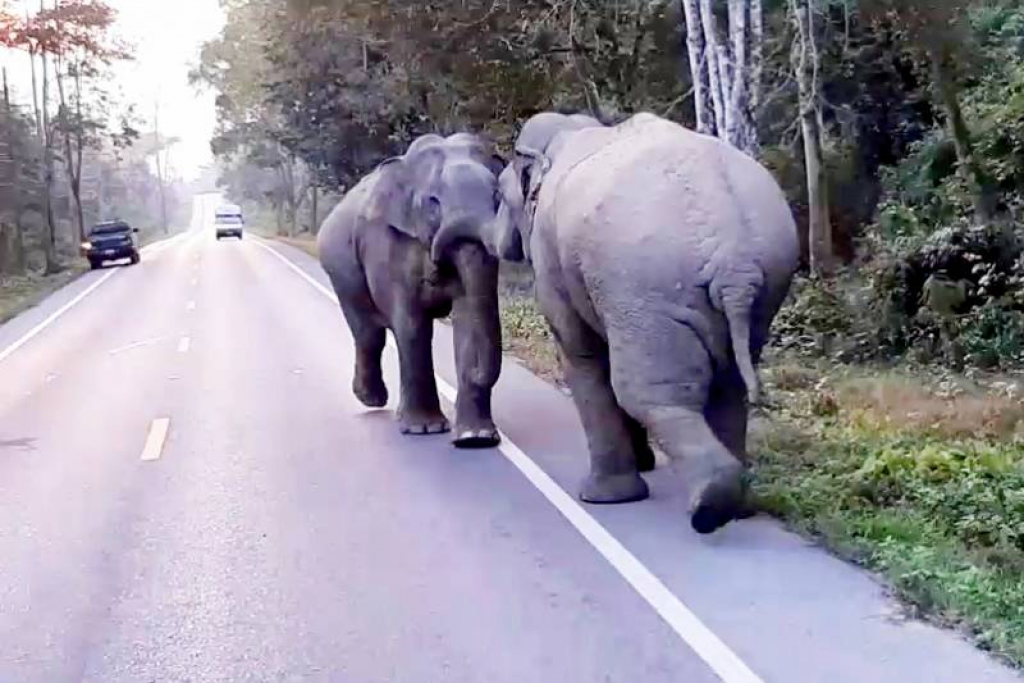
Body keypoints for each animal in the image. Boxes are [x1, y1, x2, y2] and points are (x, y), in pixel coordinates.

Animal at [317, 133, 505, 448]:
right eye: (433, 202)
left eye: (497, 197)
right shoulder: (387, 244)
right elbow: (412, 324)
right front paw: (424, 429)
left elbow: (467, 319)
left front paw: (475, 438)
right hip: (341, 269)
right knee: (368, 333)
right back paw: (372, 400)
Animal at [485, 111, 798, 532]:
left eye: (500, 197)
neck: (571, 129)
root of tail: (734, 261)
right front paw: (644, 466)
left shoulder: (555, 265)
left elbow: (582, 355)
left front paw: (603, 498)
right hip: (764, 284)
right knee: (728, 388)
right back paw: (737, 506)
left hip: (648, 288)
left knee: (649, 392)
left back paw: (710, 506)